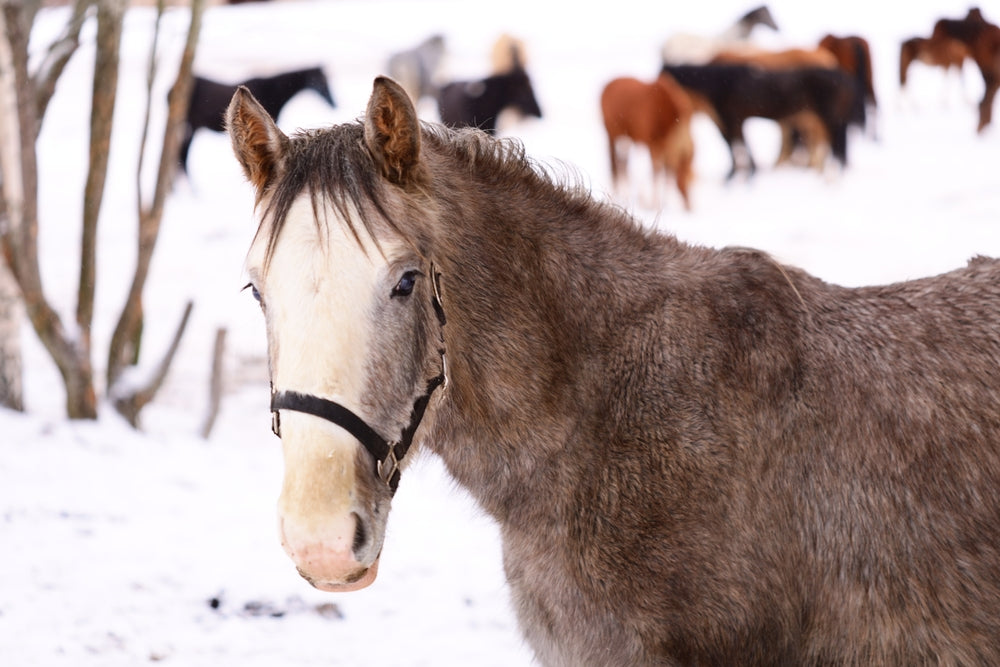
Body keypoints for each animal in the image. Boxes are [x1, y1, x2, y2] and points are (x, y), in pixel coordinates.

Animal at [600, 73, 695, 210]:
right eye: (686, 175)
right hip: (613, 134)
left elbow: (666, 173)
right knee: (617, 162)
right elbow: (656, 173)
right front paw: (654, 203)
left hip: (624, 137)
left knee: (622, 162)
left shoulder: (665, 148)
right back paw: (620, 194)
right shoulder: (654, 146)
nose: (689, 206)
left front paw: (663, 203)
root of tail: (607, 86)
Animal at [661, 63, 860, 179]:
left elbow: (734, 146)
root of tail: (847, 78)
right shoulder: (735, 121)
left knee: (838, 147)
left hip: (830, 120)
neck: (717, 84)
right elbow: (737, 146)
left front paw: (739, 175)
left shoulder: (729, 119)